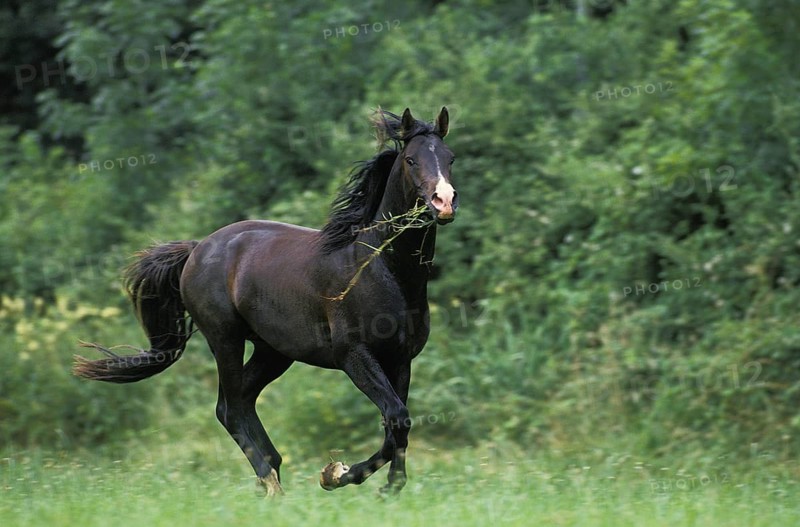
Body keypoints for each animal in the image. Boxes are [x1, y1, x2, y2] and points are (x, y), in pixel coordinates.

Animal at [73, 107, 458, 496]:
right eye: (411, 160)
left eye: (449, 158)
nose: (444, 202)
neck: (381, 270)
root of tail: (197, 249)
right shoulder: (354, 356)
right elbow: (397, 418)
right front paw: (337, 475)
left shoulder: (401, 359)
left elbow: (398, 424)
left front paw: (387, 486)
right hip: (225, 340)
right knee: (228, 409)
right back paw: (270, 482)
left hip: (272, 351)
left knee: (241, 400)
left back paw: (271, 472)